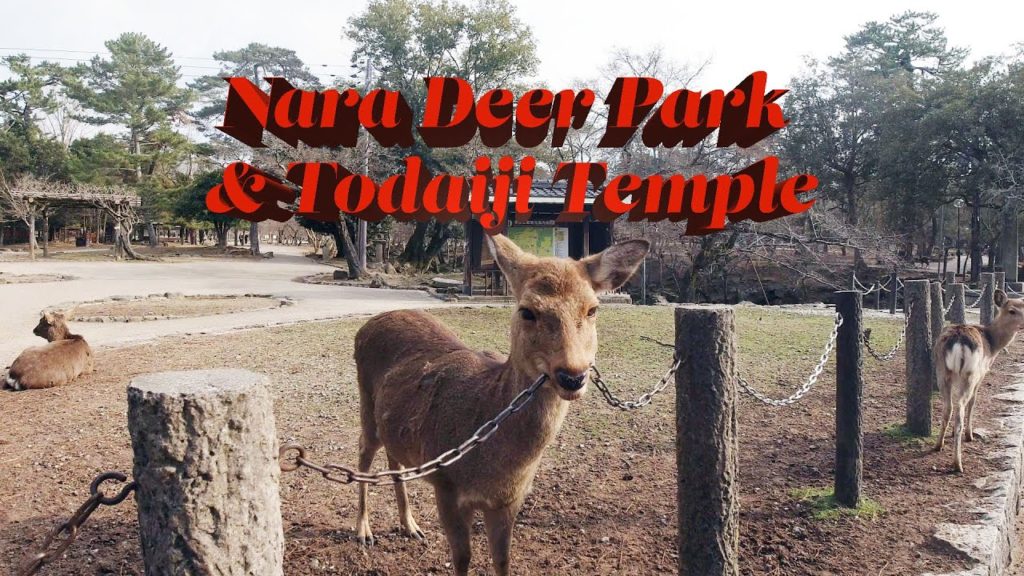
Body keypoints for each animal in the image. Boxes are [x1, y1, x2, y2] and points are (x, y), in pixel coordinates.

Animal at [352, 234, 649, 576]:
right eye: (527, 311)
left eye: (593, 309)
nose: (573, 376)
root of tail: (368, 324)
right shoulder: (446, 486)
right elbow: (462, 558)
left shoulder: (509, 501)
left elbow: (503, 559)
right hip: (366, 403)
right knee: (363, 455)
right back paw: (363, 531)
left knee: (394, 458)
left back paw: (410, 526)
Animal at [934, 289, 1024, 472]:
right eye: (1011, 310)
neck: (994, 345)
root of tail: (958, 341)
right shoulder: (982, 373)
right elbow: (974, 401)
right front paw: (970, 435)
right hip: (970, 373)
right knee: (960, 407)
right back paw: (958, 463)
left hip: (942, 371)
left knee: (949, 406)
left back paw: (938, 445)